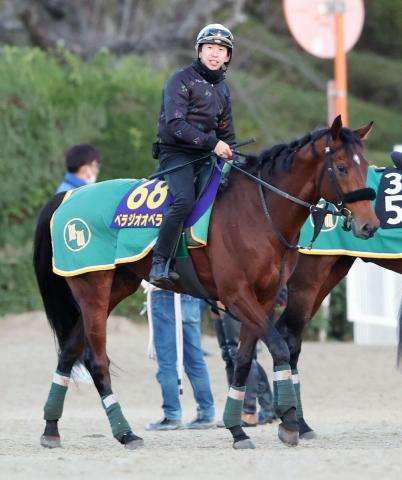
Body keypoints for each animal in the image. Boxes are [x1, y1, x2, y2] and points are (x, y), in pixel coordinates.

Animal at [33, 115, 378, 450]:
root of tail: (67, 197)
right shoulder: (237, 295)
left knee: (69, 351)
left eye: (364, 166)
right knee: (97, 360)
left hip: (116, 286)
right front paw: (290, 421)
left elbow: (243, 362)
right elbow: (278, 346)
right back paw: (125, 433)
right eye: (342, 167)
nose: (369, 225)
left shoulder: (263, 298)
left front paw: (238, 428)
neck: (257, 210)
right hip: (93, 288)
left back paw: (51, 428)